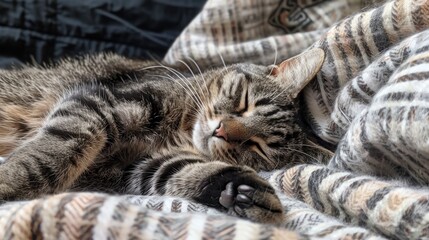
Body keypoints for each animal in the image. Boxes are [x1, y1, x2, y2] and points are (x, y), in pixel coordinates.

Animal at [0, 48, 322, 223]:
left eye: (258, 147)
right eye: (244, 103)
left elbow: (182, 171)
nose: (221, 131)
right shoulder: (99, 102)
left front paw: (243, 189)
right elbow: (50, 154)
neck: (181, 132)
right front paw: (10, 181)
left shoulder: (138, 166)